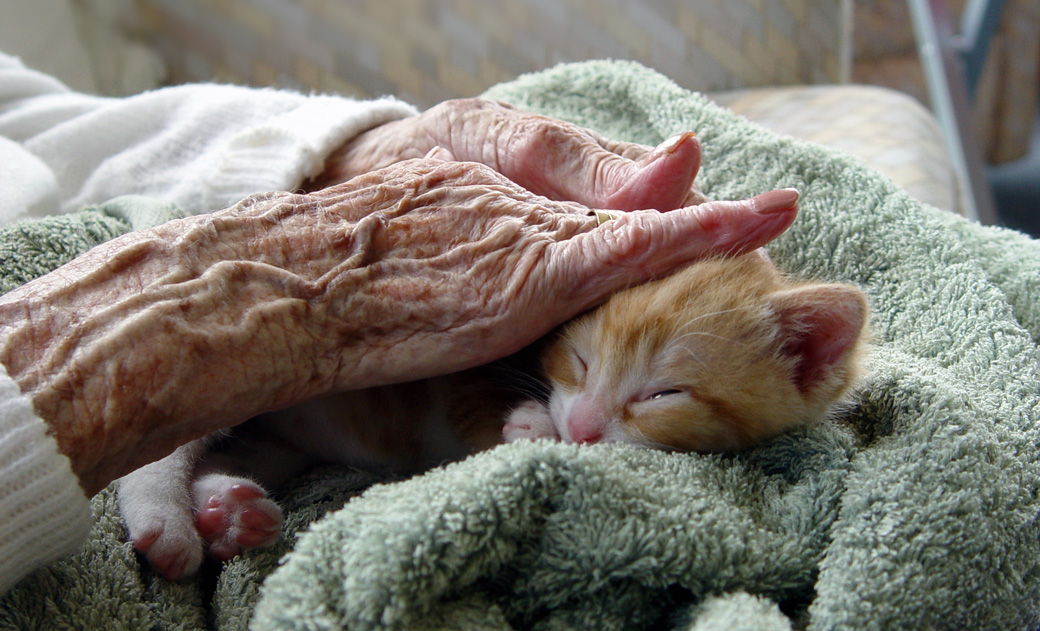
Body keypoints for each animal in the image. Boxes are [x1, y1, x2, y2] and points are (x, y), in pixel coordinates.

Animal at [118, 249, 869, 582]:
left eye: (665, 394)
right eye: (581, 360)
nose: (584, 426)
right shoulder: (464, 349)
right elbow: (476, 398)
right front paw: (530, 426)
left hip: (278, 438)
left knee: (239, 453)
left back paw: (227, 510)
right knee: (158, 449)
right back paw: (167, 521)